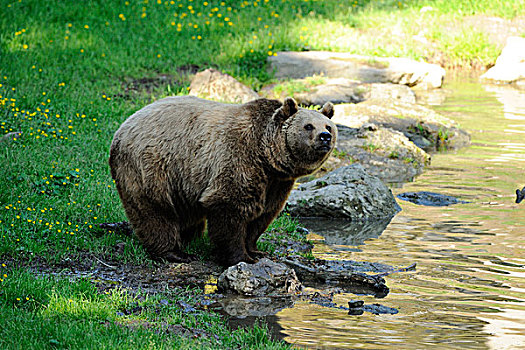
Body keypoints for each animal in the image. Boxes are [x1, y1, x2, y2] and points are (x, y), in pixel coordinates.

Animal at [109, 95, 336, 266]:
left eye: (328, 126)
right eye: (308, 126)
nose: (324, 136)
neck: (267, 155)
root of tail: (122, 128)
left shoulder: (277, 182)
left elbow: (263, 214)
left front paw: (256, 251)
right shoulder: (239, 157)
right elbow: (230, 205)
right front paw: (241, 257)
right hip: (152, 165)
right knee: (155, 211)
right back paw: (175, 252)